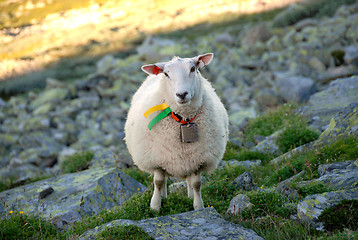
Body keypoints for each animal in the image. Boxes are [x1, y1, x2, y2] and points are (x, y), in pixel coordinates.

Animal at [124, 53, 228, 211]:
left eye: (193, 69)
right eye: (166, 74)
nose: (181, 94)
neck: (184, 120)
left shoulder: (197, 159)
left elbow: (196, 184)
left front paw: (198, 206)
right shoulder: (157, 158)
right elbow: (158, 182)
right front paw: (155, 206)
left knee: (190, 181)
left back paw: (189, 196)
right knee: (164, 180)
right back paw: (164, 196)